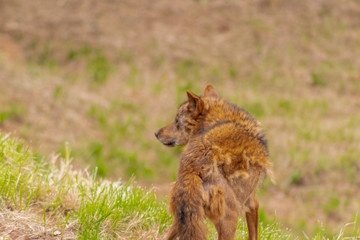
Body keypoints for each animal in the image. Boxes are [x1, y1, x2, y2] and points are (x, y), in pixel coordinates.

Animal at [155, 85, 272, 240]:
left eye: (176, 122)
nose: (156, 133)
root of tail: (193, 169)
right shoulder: (252, 203)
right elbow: (254, 235)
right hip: (230, 220)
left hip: (184, 220)